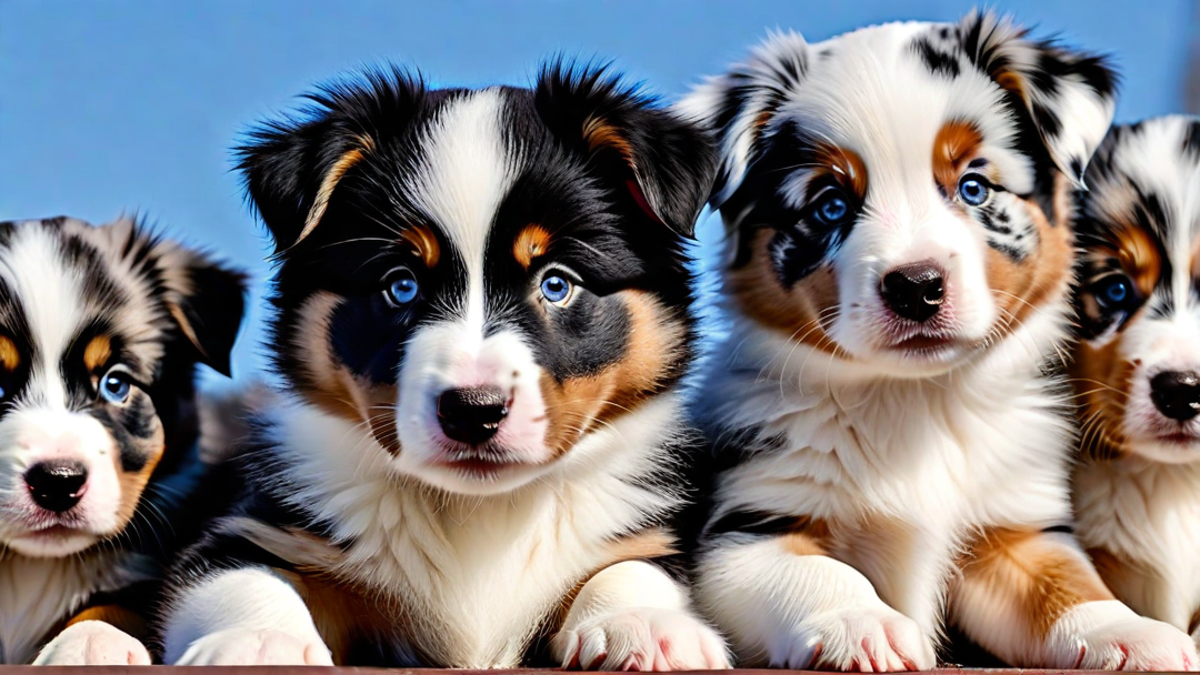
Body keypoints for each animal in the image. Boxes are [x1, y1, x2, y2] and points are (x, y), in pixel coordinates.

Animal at [154, 64, 724, 667]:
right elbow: (240, 574)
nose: (474, 411)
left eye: (557, 283)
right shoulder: (257, 523)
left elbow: (635, 566)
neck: (477, 512)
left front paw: (644, 623)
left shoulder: (646, 530)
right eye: (401, 285)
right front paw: (259, 641)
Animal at [681, 9, 1195, 667]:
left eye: (973, 187)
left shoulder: (1015, 533)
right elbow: (825, 575)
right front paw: (864, 621)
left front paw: (1129, 631)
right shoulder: (746, 529)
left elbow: (1070, 586)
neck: (918, 400)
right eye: (830, 205)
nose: (916, 286)